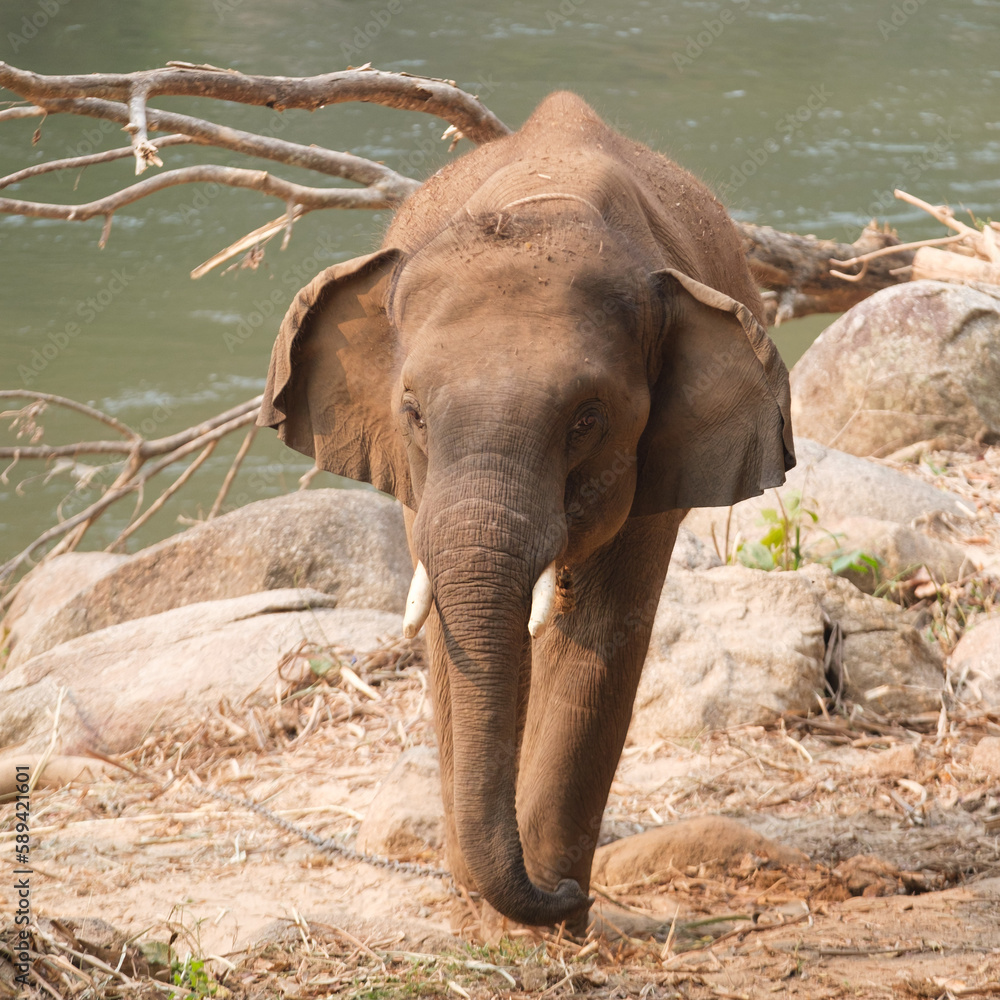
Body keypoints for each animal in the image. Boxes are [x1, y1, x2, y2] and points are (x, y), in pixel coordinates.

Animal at [258, 91, 794, 931]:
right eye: (413, 412)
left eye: (586, 420)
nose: (574, 893)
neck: (543, 203)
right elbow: (453, 631)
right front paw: (496, 899)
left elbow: (604, 630)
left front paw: (556, 907)